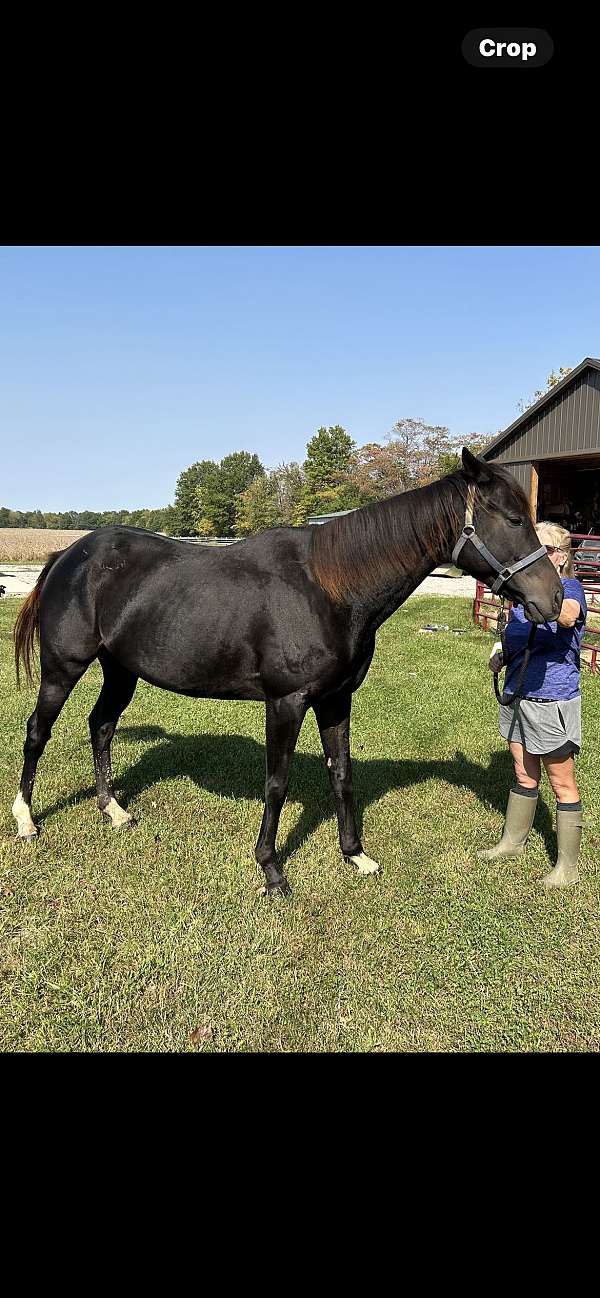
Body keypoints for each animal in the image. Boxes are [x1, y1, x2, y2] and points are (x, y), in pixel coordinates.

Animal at [10, 449, 563, 893]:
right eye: (514, 520)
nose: (553, 600)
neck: (329, 588)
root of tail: (70, 554)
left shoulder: (336, 700)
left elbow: (341, 773)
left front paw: (355, 855)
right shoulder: (286, 702)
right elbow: (277, 782)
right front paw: (271, 869)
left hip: (121, 670)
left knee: (101, 725)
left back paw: (113, 810)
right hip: (63, 668)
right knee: (38, 732)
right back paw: (26, 820)